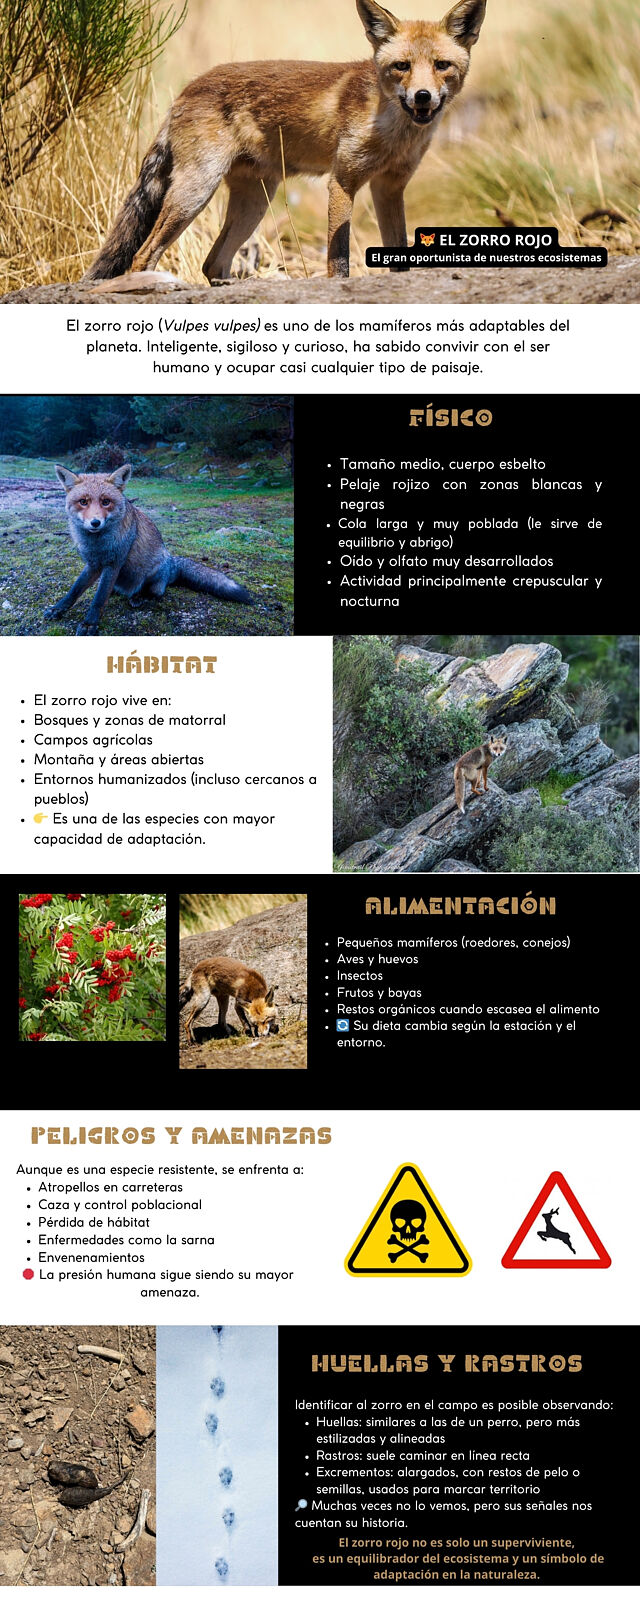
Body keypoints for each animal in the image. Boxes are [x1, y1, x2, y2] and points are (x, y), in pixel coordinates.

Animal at [47, 464, 252, 636]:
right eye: (83, 501)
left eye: (106, 502)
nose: (95, 522)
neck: (97, 544)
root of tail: (172, 565)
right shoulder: (93, 564)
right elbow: (76, 589)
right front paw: (58, 608)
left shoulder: (114, 564)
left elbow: (99, 599)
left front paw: (90, 624)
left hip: (153, 577)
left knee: (154, 592)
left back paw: (138, 597)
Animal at [84, 0, 486, 285]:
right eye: (402, 66)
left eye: (442, 65)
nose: (422, 97)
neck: (392, 129)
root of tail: (186, 90)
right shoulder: (342, 181)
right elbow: (338, 259)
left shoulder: (389, 187)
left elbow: (398, 255)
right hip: (194, 192)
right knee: (143, 255)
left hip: (255, 202)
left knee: (213, 263)